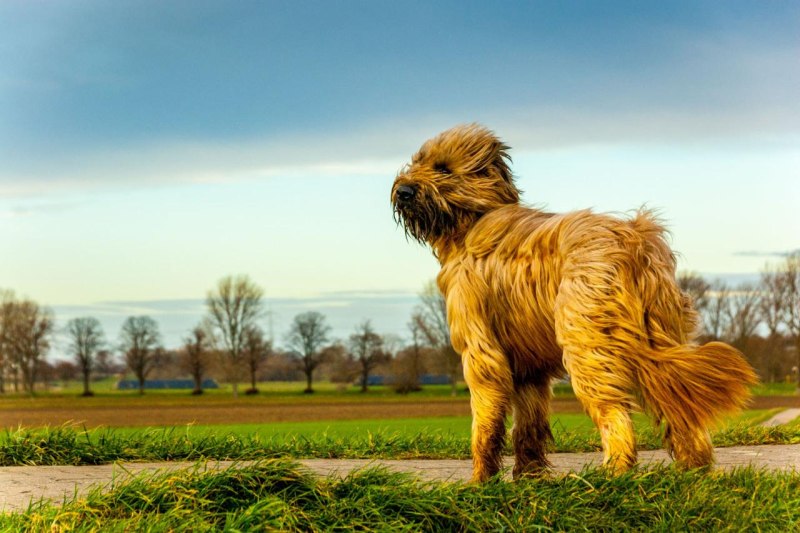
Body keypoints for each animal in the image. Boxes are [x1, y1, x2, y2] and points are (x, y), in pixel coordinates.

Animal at [392, 124, 756, 482]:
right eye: (417, 161)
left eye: (442, 168)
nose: (403, 191)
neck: (474, 218)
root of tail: (635, 240)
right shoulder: (529, 365)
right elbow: (529, 424)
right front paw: (530, 477)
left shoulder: (481, 350)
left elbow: (486, 423)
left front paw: (481, 480)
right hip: (661, 333)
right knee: (679, 405)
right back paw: (694, 468)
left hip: (588, 343)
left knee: (616, 415)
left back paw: (614, 475)